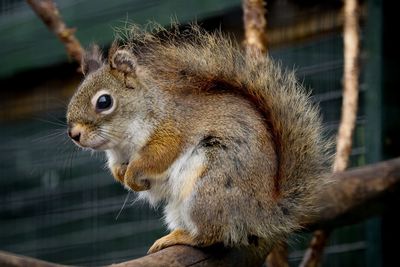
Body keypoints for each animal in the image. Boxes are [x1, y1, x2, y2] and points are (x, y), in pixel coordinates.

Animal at [66, 24, 332, 254]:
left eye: (104, 101)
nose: (74, 135)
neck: (121, 144)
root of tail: (262, 212)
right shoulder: (117, 155)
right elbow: (116, 169)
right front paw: (122, 176)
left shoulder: (172, 131)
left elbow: (156, 156)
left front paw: (133, 176)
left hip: (207, 190)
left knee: (210, 235)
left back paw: (180, 237)